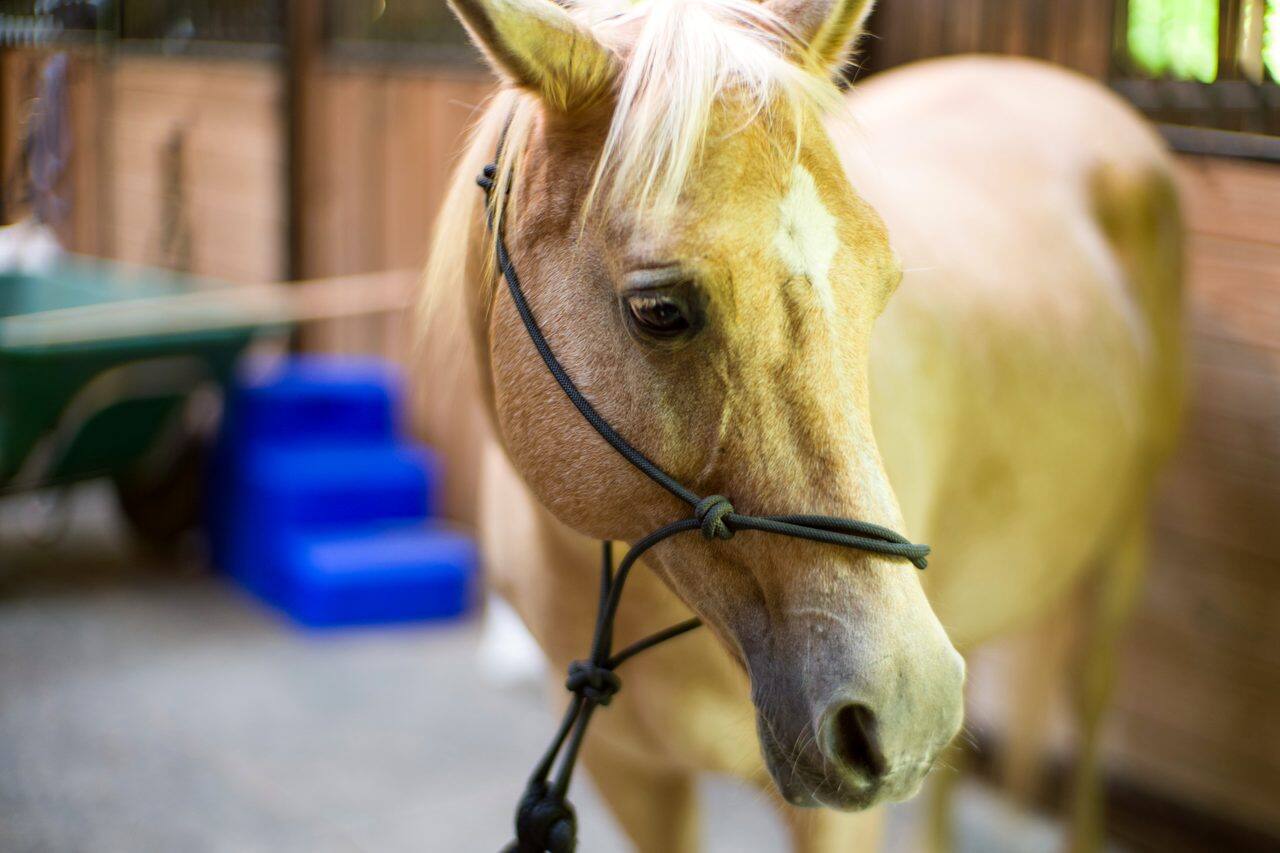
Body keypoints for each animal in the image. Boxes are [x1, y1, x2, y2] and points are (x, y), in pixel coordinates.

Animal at [417, 0, 1184, 850]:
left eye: (882, 285)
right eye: (658, 309)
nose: (907, 710)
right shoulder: (634, 775)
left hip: (1121, 551)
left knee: (1090, 701)